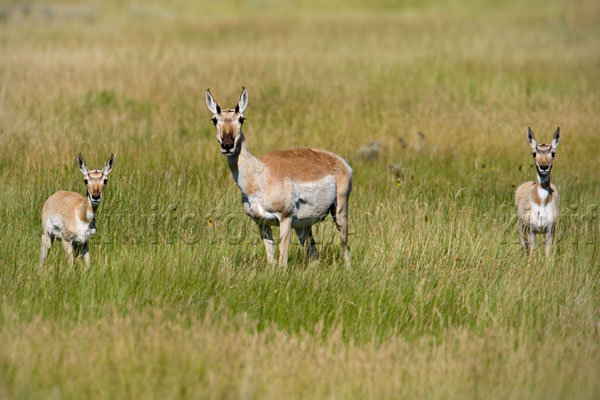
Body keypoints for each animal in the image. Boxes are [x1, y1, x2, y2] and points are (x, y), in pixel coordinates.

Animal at [206, 87, 352, 266]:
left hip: (339, 213)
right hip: (303, 227)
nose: (227, 145)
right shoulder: (262, 223)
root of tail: (340, 161)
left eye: (241, 118)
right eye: (214, 120)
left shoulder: (285, 218)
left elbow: (282, 262)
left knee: (345, 246)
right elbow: (271, 261)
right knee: (314, 254)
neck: (259, 175)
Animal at [516, 126, 564, 255]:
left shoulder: (549, 230)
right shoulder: (530, 230)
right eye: (534, 153)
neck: (541, 202)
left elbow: (547, 254)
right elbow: (532, 253)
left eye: (553, 153)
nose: (544, 167)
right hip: (522, 228)